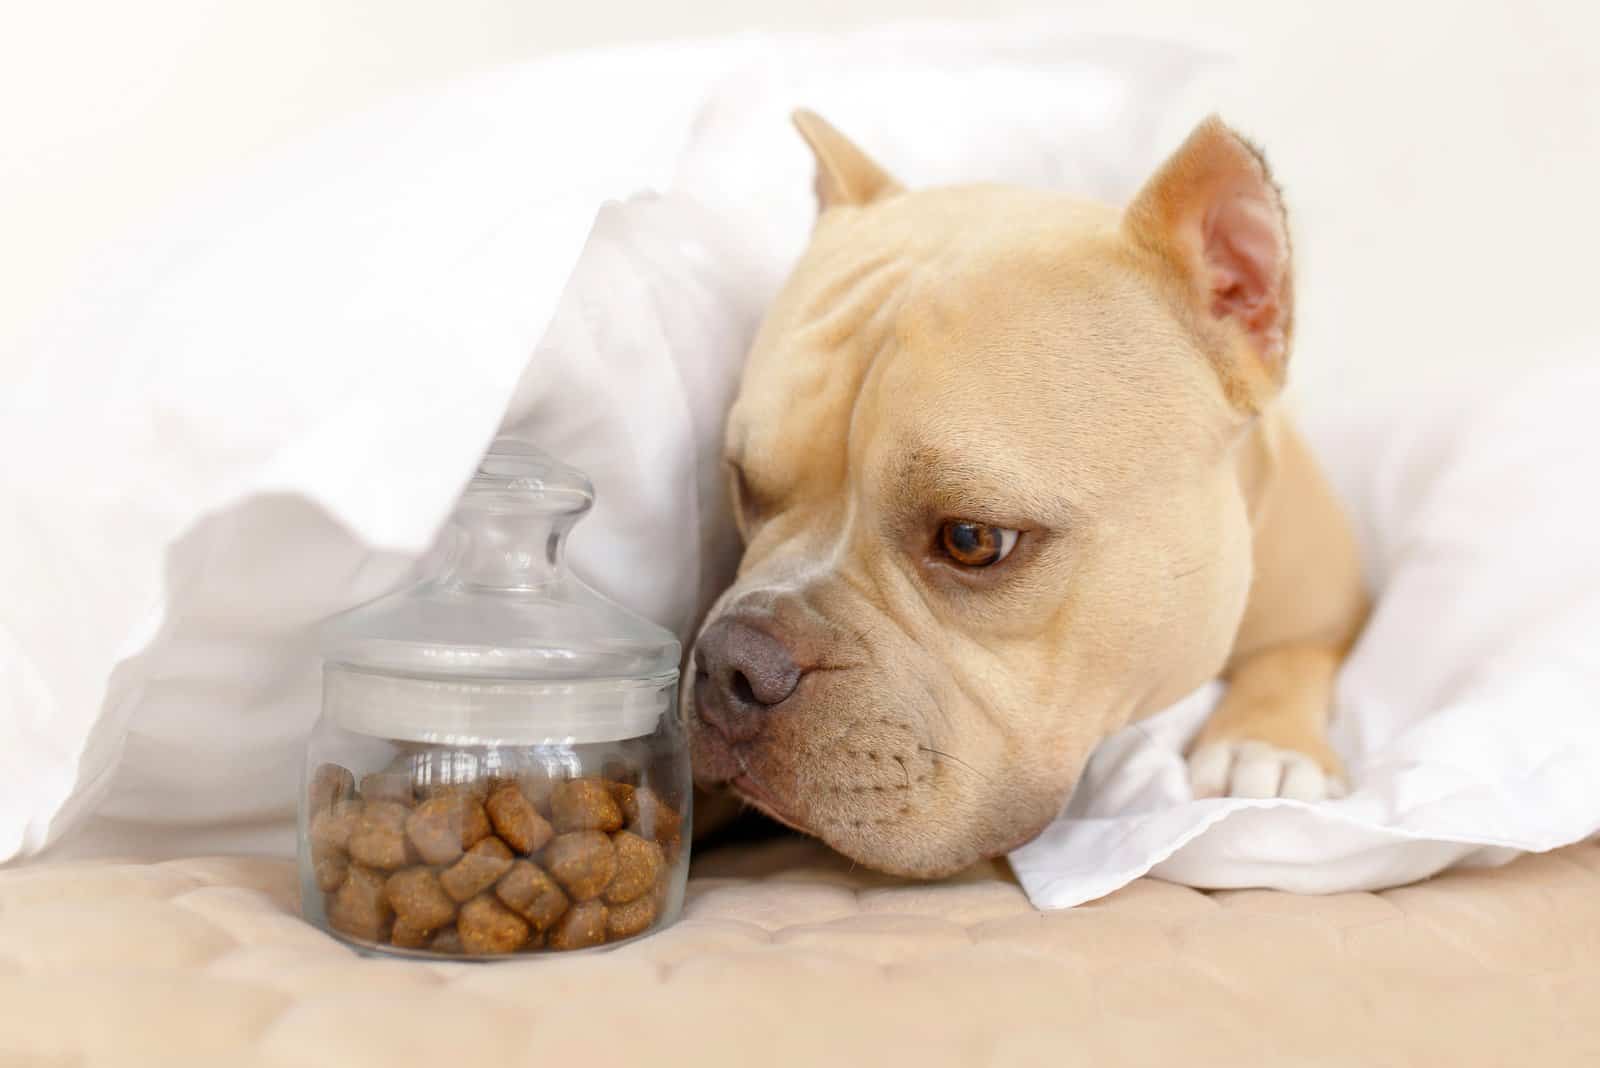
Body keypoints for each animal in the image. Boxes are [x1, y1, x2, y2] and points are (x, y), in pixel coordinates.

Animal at [681, 110, 1369, 876]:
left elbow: (1293, 654)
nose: (731, 662)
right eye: (745, 484)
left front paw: (1265, 744)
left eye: (973, 540)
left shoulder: (1331, 601)